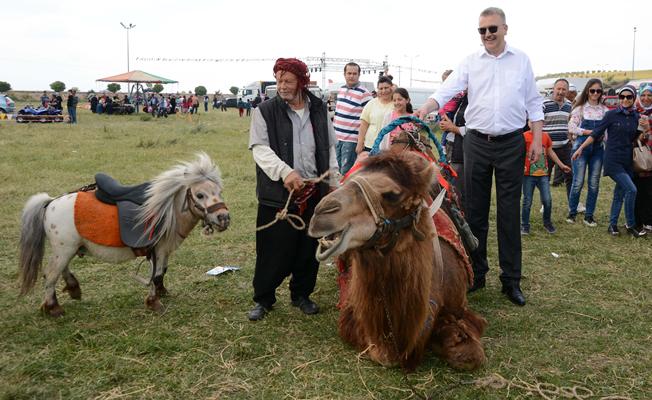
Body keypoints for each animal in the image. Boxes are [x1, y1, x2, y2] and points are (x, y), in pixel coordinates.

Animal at [308, 151, 486, 372]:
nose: (321, 212)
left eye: (392, 194)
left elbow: (470, 355)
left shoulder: (460, 306)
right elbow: (383, 354)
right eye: (347, 179)